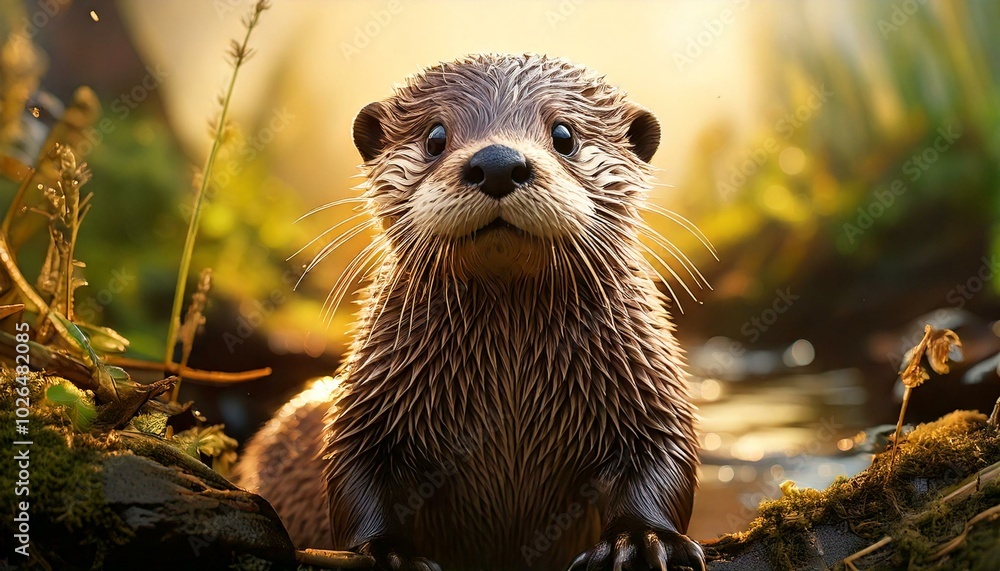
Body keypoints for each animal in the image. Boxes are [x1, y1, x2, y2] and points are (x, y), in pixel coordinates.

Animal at [235, 53, 704, 571]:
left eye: (565, 135)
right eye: (435, 137)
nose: (497, 162)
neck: (510, 389)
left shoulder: (646, 389)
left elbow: (661, 459)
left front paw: (640, 541)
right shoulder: (374, 403)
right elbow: (355, 470)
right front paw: (385, 552)